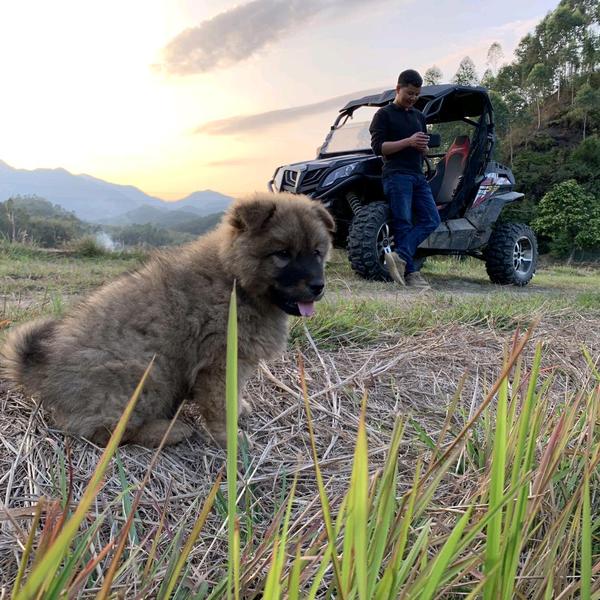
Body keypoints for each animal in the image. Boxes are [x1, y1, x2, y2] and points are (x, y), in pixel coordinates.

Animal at [0, 192, 332, 446]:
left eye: (317, 252)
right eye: (283, 254)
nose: (318, 286)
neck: (235, 281)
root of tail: (45, 371)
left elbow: (234, 395)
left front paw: (241, 409)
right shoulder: (218, 364)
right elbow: (220, 406)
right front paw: (230, 440)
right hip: (148, 371)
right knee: (107, 432)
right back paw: (170, 431)